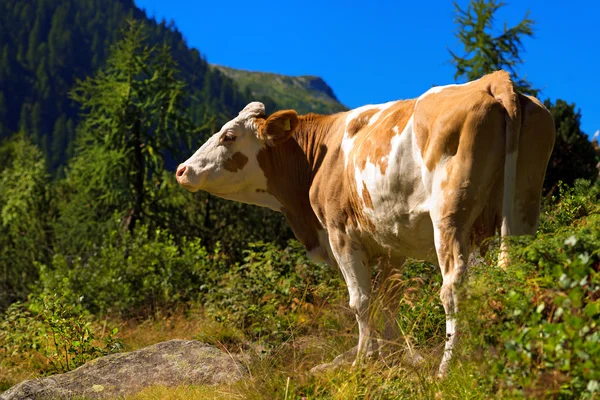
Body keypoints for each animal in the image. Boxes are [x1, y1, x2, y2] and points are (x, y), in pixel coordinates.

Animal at [176, 71, 556, 376]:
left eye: (228, 136)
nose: (182, 169)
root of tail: (494, 80)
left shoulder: (340, 233)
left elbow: (360, 301)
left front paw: (362, 361)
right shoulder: (392, 243)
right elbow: (388, 300)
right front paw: (393, 358)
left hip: (450, 216)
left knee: (453, 289)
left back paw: (446, 369)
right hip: (521, 210)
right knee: (527, 275)